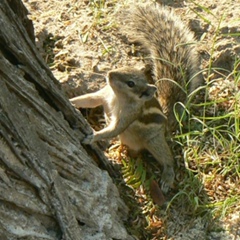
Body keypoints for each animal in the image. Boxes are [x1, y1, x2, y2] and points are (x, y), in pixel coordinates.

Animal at [70, 4, 202, 193]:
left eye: (131, 83)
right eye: (121, 67)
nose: (109, 74)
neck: (117, 97)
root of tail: (167, 118)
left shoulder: (127, 116)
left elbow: (113, 129)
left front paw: (92, 137)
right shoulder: (104, 95)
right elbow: (90, 99)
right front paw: (71, 101)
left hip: (154, 140)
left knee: (167, 157)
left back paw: (167, 177)